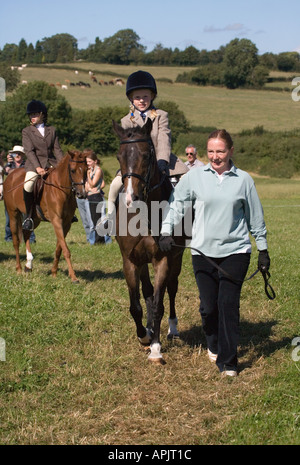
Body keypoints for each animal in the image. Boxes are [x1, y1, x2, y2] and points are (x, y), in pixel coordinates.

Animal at [3, 150, 88, 280]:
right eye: (73, 170)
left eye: (86, 170)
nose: (81, 194)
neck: (61, 189)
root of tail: (11, 175)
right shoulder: (56, 220)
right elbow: (66, 250)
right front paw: (73, 277)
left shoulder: (66, 223)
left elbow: (60, 248)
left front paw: (54, 273)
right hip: (13, 214)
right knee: (16, 240)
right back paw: (19, 268)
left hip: (35, 218)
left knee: (26, 233)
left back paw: (28, 265)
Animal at [112, 119, 190, 362]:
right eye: (119, 156)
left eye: (147, 155)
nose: (131, 198)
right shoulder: (130, 261)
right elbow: (137, 305)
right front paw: (144, 336)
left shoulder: (163, 260)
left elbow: (158, 304)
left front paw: (155, 347)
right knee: (147, 293)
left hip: (176, 258)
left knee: (171, 290)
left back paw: (172, 329)